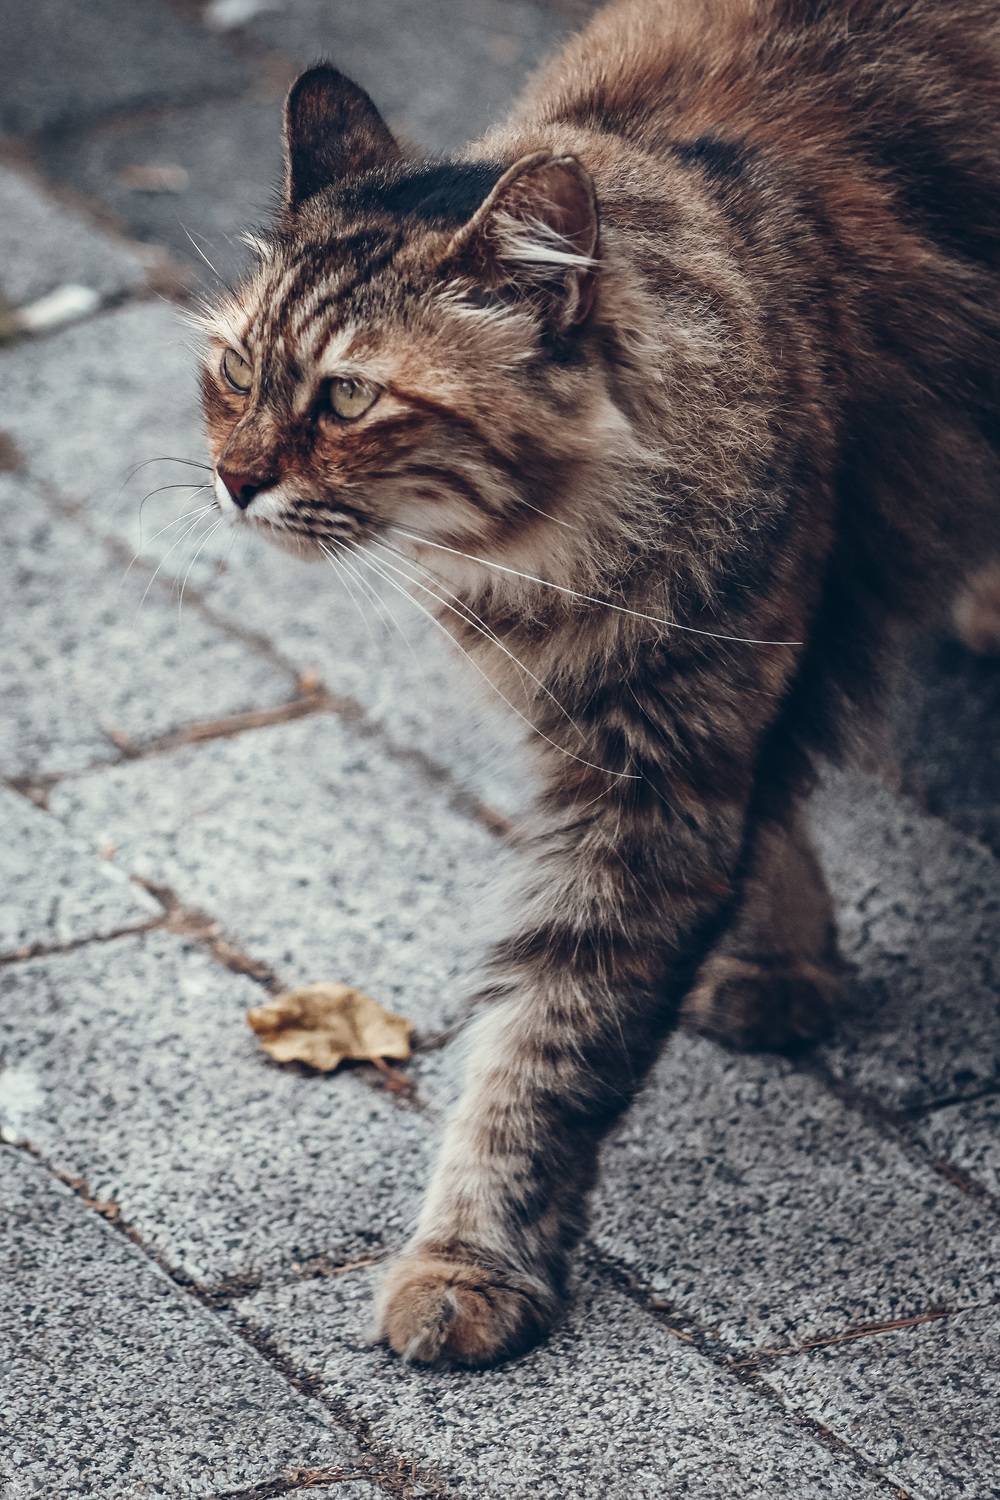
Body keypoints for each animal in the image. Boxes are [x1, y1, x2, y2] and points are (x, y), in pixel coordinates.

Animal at [199, 0, 1000, 1366]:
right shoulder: (660, 724)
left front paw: (468, 1267)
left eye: (347, 395)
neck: (544, 562)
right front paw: (785, 959)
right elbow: (768, 818)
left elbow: (543, 1049)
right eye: (239, 373)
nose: (234, 480)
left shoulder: (657, 776)